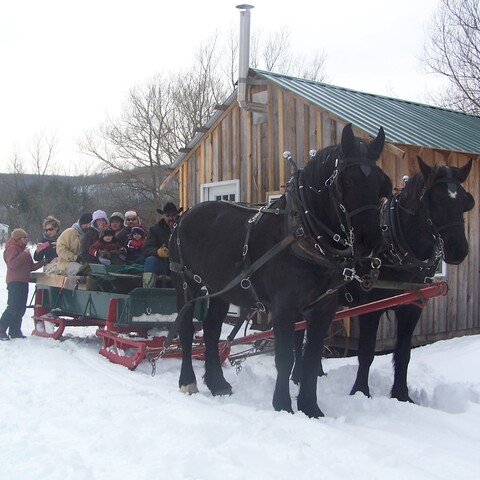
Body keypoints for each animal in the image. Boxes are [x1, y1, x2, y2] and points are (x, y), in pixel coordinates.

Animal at [167, 123, 392, 416]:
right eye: (348, 182)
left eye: (381, 184)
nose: (372, 241)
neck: (302, 233)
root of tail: (184, 217)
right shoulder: (284, 308)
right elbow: (285, 358)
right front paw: (283, 405)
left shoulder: (323, 309)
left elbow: (311, 359)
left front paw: (310, 408)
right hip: (186, 282)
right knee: (185, 330)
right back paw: (188, 381)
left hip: (220, 289)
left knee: (212, 328)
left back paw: (217, 383)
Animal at [292, 156, 472, 404]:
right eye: (434, 199)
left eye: (465, 201)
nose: (458, 250)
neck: (395, 246)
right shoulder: (371, 306)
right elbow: (366, 352)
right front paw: (360, 392)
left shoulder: (412, 306)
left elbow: (404, 353)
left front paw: (402, 395)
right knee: (297, 332)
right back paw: (296, 376)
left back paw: (317, 371)